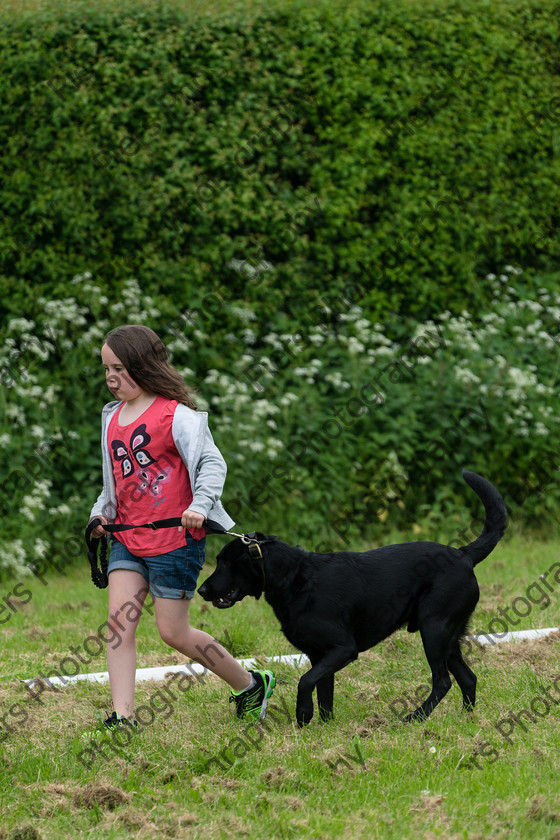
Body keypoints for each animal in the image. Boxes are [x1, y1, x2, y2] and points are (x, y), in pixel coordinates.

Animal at [198, 470, 508, 724]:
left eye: (225, 562)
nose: (201, 590)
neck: (296, 579)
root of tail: (464, 554)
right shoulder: (319, 655)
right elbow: (324, 692)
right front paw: (325, 726)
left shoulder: (343, 648)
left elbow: (305, 681)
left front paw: (303, 715)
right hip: (449, 637)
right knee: (468, 678)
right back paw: (466, 719)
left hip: (434, 630)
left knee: (443, 681)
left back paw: (415, 717)